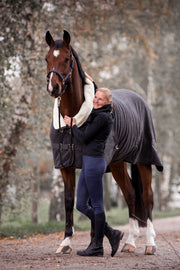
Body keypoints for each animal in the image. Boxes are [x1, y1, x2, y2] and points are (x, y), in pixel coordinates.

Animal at [45, 29, 163, 255]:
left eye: (66, 58)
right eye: (47, 58)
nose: (53, 88)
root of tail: (139, 99)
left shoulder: (92, 166)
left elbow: (93, 201)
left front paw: (95, 242)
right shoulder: (66, 165)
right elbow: (69, 201)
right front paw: (66, 243)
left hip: (144, 160)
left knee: (147, 197)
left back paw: (150, 244)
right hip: (117, 164)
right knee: (131, 194)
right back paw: (130, 242)